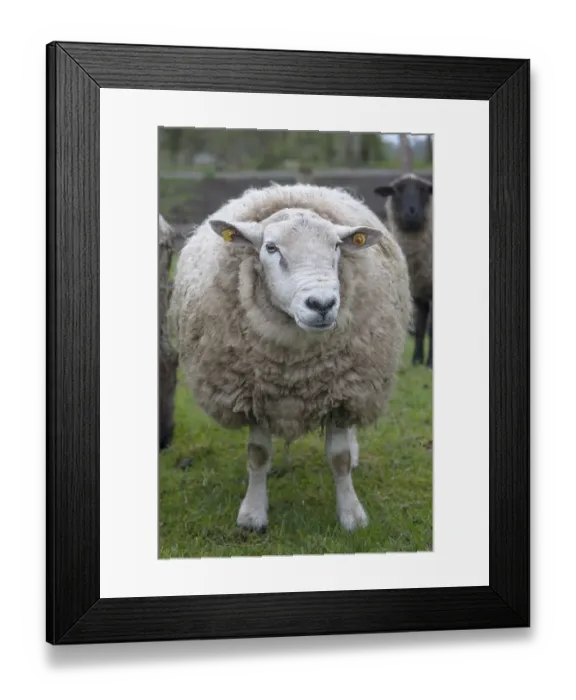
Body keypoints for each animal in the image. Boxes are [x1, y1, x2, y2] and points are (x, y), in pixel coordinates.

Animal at [170, 183, 412, 532]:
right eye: (271, 248)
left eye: (336, 246)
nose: (321, 304)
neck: (294, 368)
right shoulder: (254, 393)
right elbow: (257, 455)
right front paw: (252, 515)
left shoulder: (343, 391)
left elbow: (339, 458)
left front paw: (352, 515)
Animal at [374, 173, 433, 368]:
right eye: (396, 191)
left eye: (424, 190)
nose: (412, 213)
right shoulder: (418, 291)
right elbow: (420, 326)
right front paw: (416, 360)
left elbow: (431, 329)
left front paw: (430, 363)